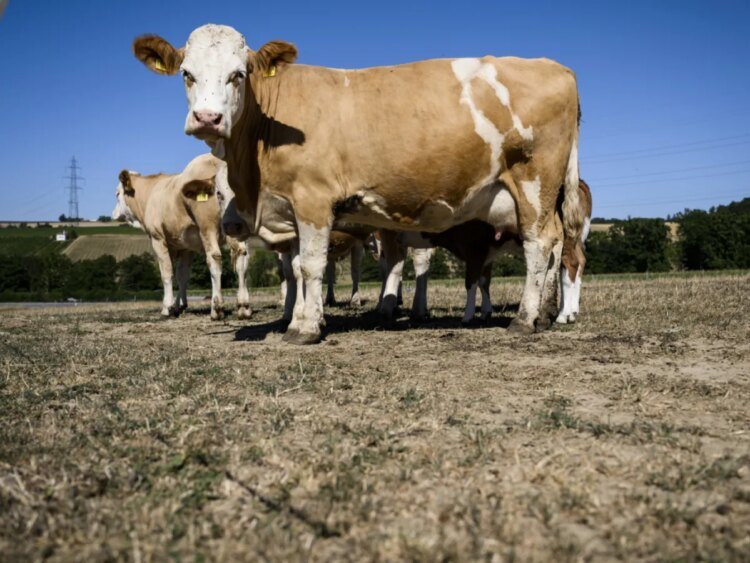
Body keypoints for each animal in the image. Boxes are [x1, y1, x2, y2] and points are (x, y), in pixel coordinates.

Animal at [112, 153, 251, 320]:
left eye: (117, 194)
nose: (113, 214)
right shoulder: (186, 247)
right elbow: (182, 275)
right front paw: (180, 305)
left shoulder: (158, 239)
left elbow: (166, 272)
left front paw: (167, 307)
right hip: (238, 229)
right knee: (242, 258)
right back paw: (243, 306)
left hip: (208, 227)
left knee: (215, 258)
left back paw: (216, 309)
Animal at [132, 24, 584, 344]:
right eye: (187, 74)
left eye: (238, 74)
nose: (207, 119)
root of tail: (555, 67)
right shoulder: (292, 209)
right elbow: (297, 268)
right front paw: (298, 319)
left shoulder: (313, 199)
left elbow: (310, 266)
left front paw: (306, 329)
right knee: (556, 246)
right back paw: (546, 315)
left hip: (534, 182)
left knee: (541, 245)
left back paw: (525, 319)